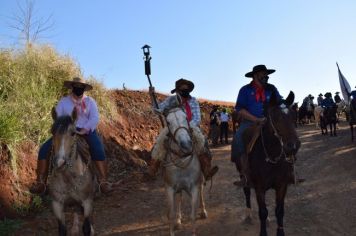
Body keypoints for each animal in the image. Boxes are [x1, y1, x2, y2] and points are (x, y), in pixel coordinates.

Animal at [157, 95, 207, 236]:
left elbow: (192, 215)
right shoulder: (169, 188)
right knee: (179, 198)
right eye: (168, 122)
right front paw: (175, 224)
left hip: (200, 181)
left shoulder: (194, 187)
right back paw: (179, 221)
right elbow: (171, 215)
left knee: (202, 192)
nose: (186, 145)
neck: (182, 160)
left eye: (186, 117)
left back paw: (203, 211)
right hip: (178, 187)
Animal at [234, 91, 300, 236]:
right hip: (242, 175)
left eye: (293, 115)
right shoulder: (259, 187)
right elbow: (263, 212)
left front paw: (280, 233)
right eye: (275, 116)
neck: (271, 156)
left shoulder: (282, 185)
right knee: (247, 192)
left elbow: (279, 211)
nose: (293, 146)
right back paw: (248, 214)